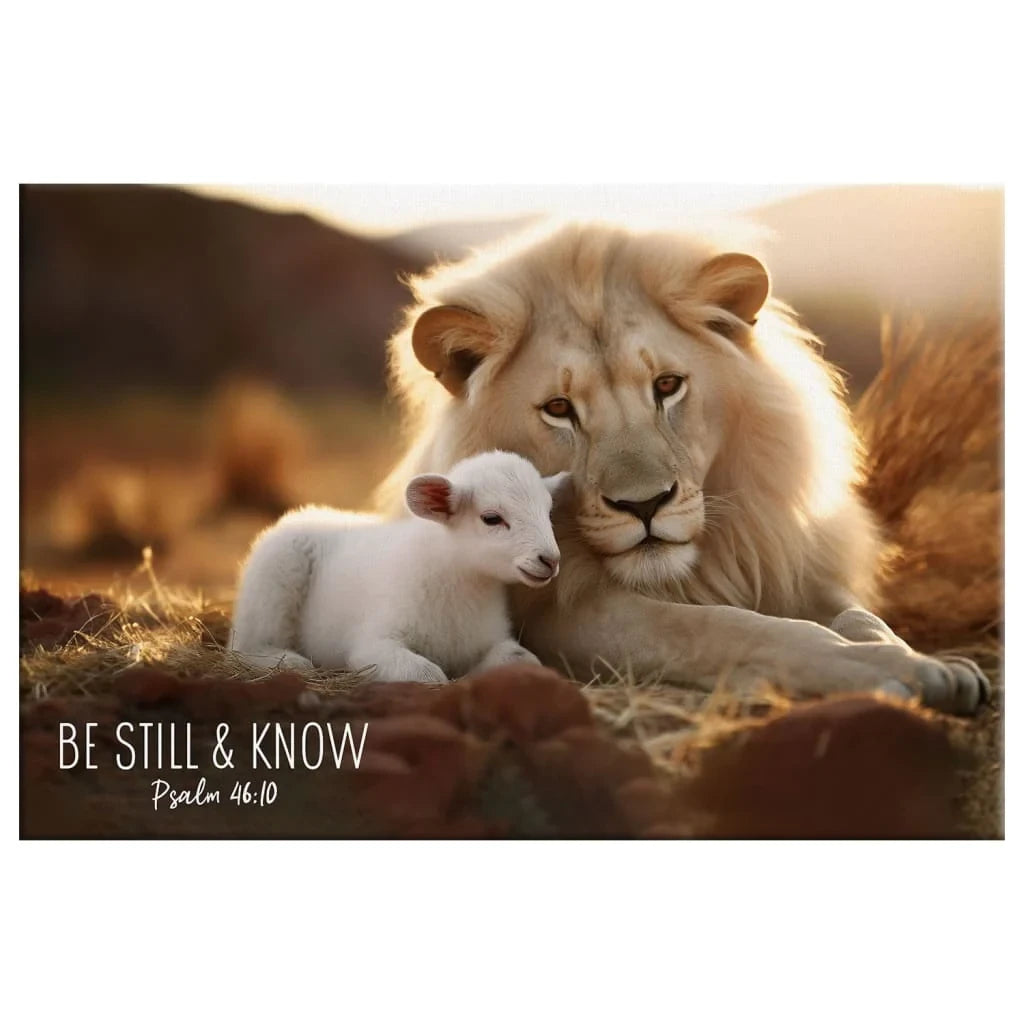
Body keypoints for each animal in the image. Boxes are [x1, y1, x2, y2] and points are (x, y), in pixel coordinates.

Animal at [228, 451, 569, 683]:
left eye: (548, 512)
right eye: (492, 518)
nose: (550, 560)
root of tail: (307, 511)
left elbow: (521, 659)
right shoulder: (373, 642)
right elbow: (428, 675)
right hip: (275, 575)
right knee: (245, 643)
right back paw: (287, 661)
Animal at [379, 222, 990, 715]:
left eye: (667, 385)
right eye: (559, 408)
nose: (645, 504)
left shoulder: (783, 558)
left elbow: (861, 617)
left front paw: (929, 663)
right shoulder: (561, 614)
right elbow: (717, 626)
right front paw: (875, 670)